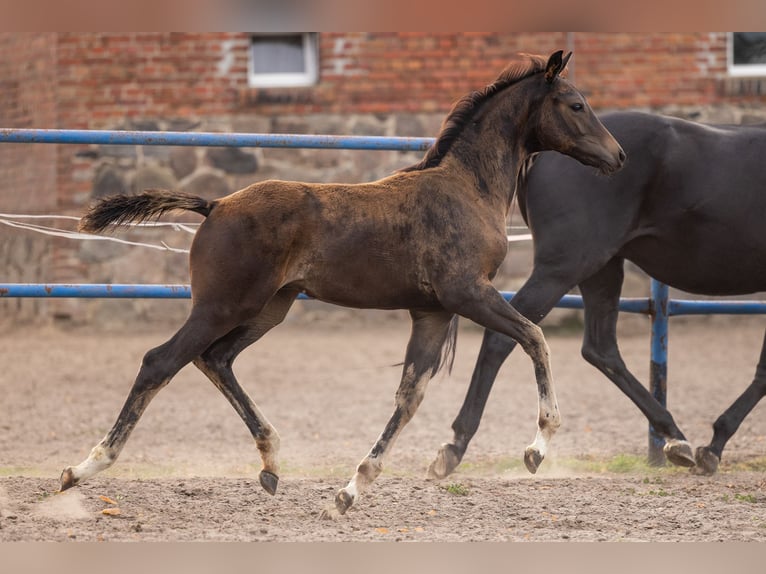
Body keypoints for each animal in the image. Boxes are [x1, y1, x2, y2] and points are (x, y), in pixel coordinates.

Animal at [62, 51, 625, 517]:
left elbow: (409, 395)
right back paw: (83, 468)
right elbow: (535, 337)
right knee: (161, 361)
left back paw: (271, 463)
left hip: (270, 308)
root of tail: (215, 204)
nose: (618, 157)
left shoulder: (433, 311)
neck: (466, 187)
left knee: (215, 359)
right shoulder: (467, 292)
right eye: (576, 104)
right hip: (222, 305)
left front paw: (352, 488)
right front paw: (537, 447)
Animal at [428, 109, 766, 481]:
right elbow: (764, 372)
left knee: (600, 347)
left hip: (601, 268)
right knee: (506, 337)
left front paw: (711, 446)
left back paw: (676, 439)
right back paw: (458, 446)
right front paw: (715, 446)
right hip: (565, 267)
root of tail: (543, 151)